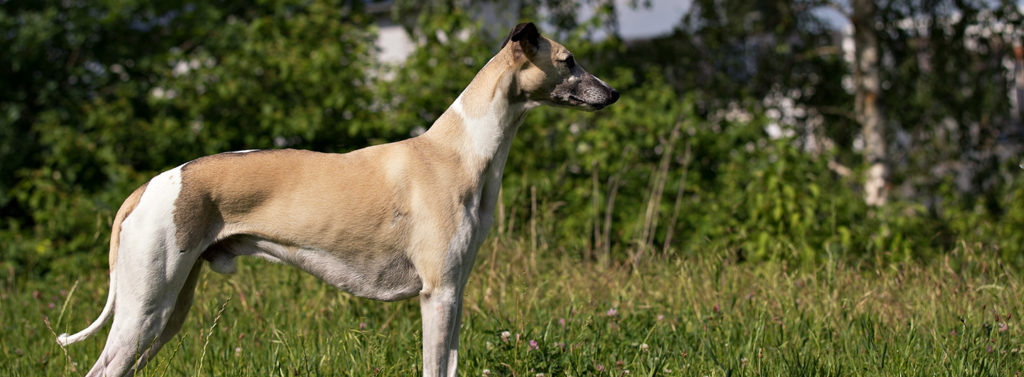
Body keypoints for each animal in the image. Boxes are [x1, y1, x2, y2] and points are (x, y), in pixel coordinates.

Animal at [59, 22, 618, 374]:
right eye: (568, 60)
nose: (612, 93)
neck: (457, 151)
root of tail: (150, 185)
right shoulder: (437, 293)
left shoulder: (454, 293)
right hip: (145, 307)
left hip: (167, 312)